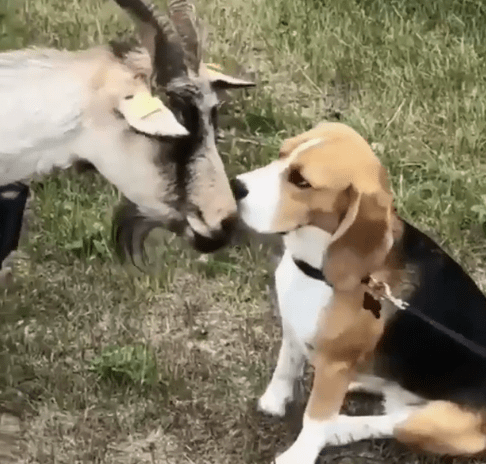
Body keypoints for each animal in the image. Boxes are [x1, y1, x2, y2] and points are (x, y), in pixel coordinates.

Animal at [231, 122, 486, 464]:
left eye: (301, 181)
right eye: (282, 154)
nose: (235, 186)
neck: (314, 270)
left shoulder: (335, 363)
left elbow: (315, 418)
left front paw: (299, 454)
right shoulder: (293, 326)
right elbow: (287, 363)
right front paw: (274, 400)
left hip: (441, 423)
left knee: (393, 421)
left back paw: (340, 428)